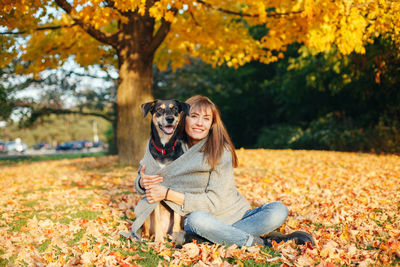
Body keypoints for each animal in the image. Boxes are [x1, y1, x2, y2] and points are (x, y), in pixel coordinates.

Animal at [141, 99, 191, 244]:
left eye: (175, 109)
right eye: (159, 109)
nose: (170, 118)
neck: (164, 148)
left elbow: (176, 220)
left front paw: (176, 238)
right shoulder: (154, 189)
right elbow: (157, 218)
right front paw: (158, 241)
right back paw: (149, 237)